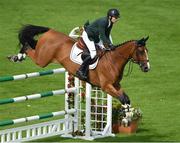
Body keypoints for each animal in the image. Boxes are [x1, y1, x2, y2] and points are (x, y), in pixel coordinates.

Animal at [7, 24, 150, 105]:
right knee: (29, 47)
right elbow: (122, 98)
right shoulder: (106, 86)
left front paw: (127, 113)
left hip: (43, 54)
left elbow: (125, 98)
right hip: (42, 59)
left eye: (147, 51)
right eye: (141, 51)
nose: (147, 68)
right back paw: (16, 56)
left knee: (32, 44)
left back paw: (18, 56)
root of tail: (50, 31)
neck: (113, 61)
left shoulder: (115, 85)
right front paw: (126, 113)